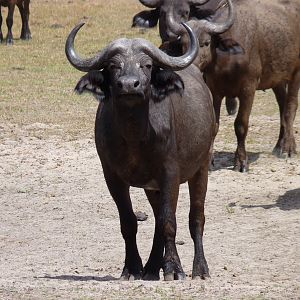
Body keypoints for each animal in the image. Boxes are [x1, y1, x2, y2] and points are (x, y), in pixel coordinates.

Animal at [65, 22, 216, 280]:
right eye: (114, 66)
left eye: (146, 65)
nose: (128, 85)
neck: (135, 136)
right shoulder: (112, 177)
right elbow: (129, 222)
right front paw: (132, 268)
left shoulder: (170, 174)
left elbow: (169, 222)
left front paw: (174, 269)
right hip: (151, 187)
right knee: (156, 221)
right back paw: (152, 267)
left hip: (202, 166)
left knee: (196, 218)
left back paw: (200, 268)